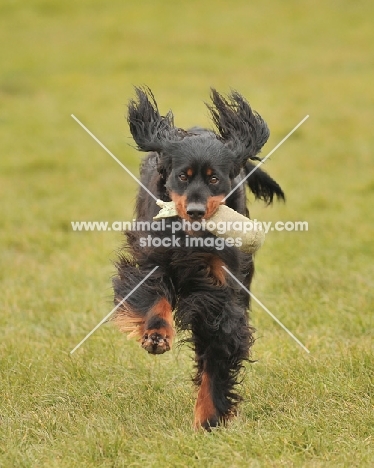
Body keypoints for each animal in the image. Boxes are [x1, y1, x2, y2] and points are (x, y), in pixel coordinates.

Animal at [112, 86, 284, 430]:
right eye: (182, 176)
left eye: (214, 179)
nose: (194, 211)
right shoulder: (152, 257)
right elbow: (153, 295)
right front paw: (156, 333)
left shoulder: (220, 288)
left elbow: (219, 345)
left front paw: (209, 415)